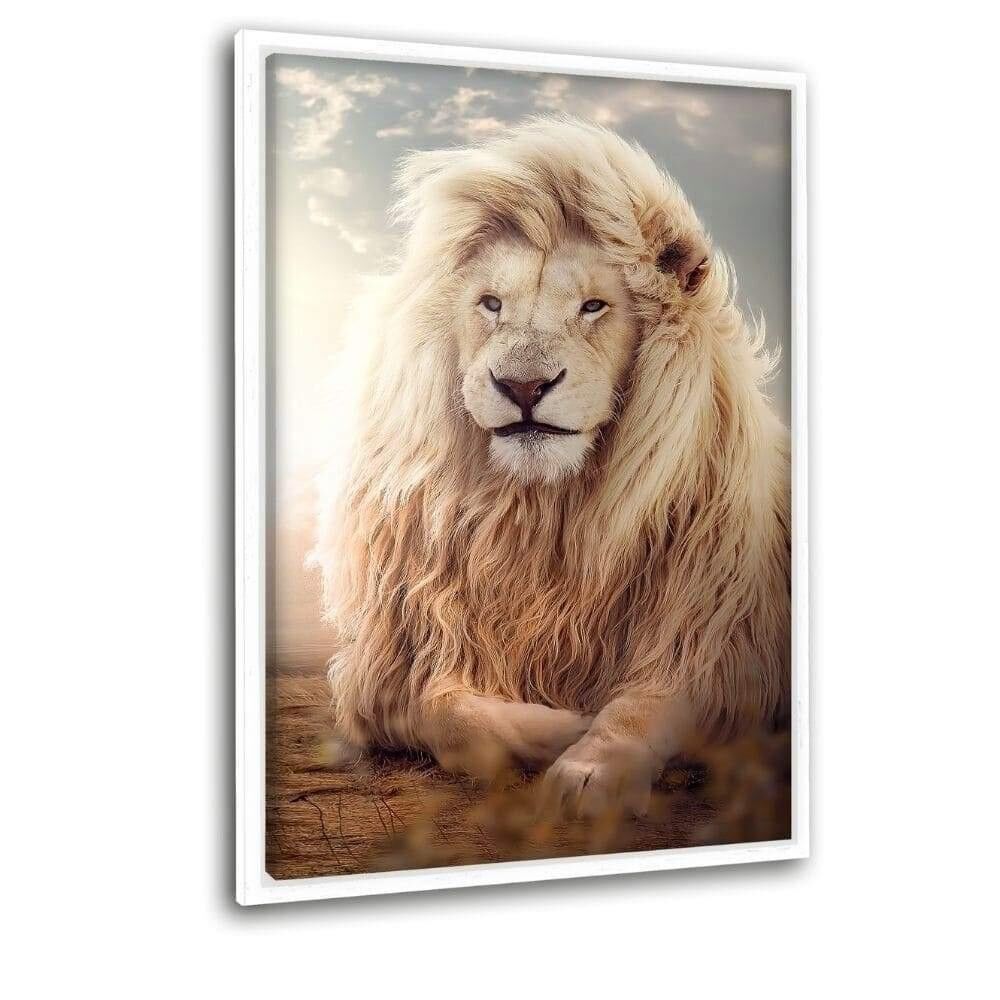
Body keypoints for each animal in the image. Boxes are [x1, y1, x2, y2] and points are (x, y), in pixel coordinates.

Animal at [312, 117, 790, 819]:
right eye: (490, 304)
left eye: (594, 306)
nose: (523, 386)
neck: (543, 514)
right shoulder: (389, 668)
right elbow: (443, 710)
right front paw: (562, 727)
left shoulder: (719, 644)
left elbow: (646, 706)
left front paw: (591, 765)